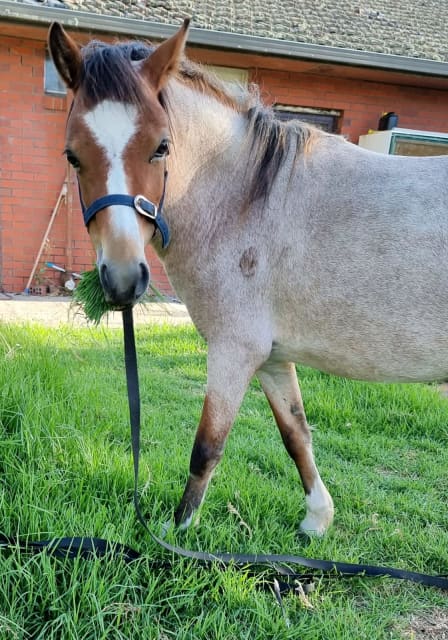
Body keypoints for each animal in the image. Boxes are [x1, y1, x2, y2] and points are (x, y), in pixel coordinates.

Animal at [49, 21, 448, 536]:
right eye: (72, 156)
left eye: (162, 146)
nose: (121, 280)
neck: (247, 202)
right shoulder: (272, 357)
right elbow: (296, 432)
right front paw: (317, 518)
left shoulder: (234, 351)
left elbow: (206, 448)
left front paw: (177, 536)